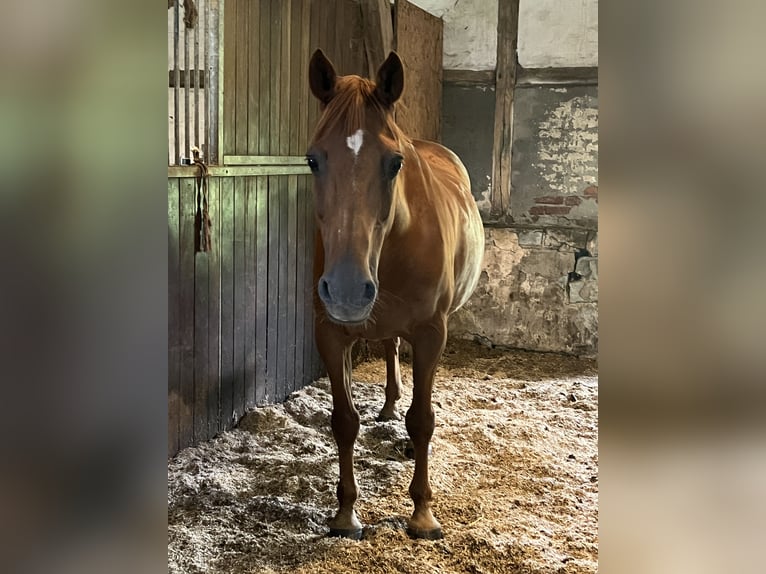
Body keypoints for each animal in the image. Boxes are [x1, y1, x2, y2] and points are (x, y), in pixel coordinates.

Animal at [308, 50, 484, 544]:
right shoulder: (330, 333)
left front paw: (422, 514)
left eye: (394, 163)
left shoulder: (430, 334)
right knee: (389, 348)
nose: (347, 291)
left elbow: (423, 420)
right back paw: (389, 404)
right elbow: (344, 422)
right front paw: (346, 513)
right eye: (312, 160)